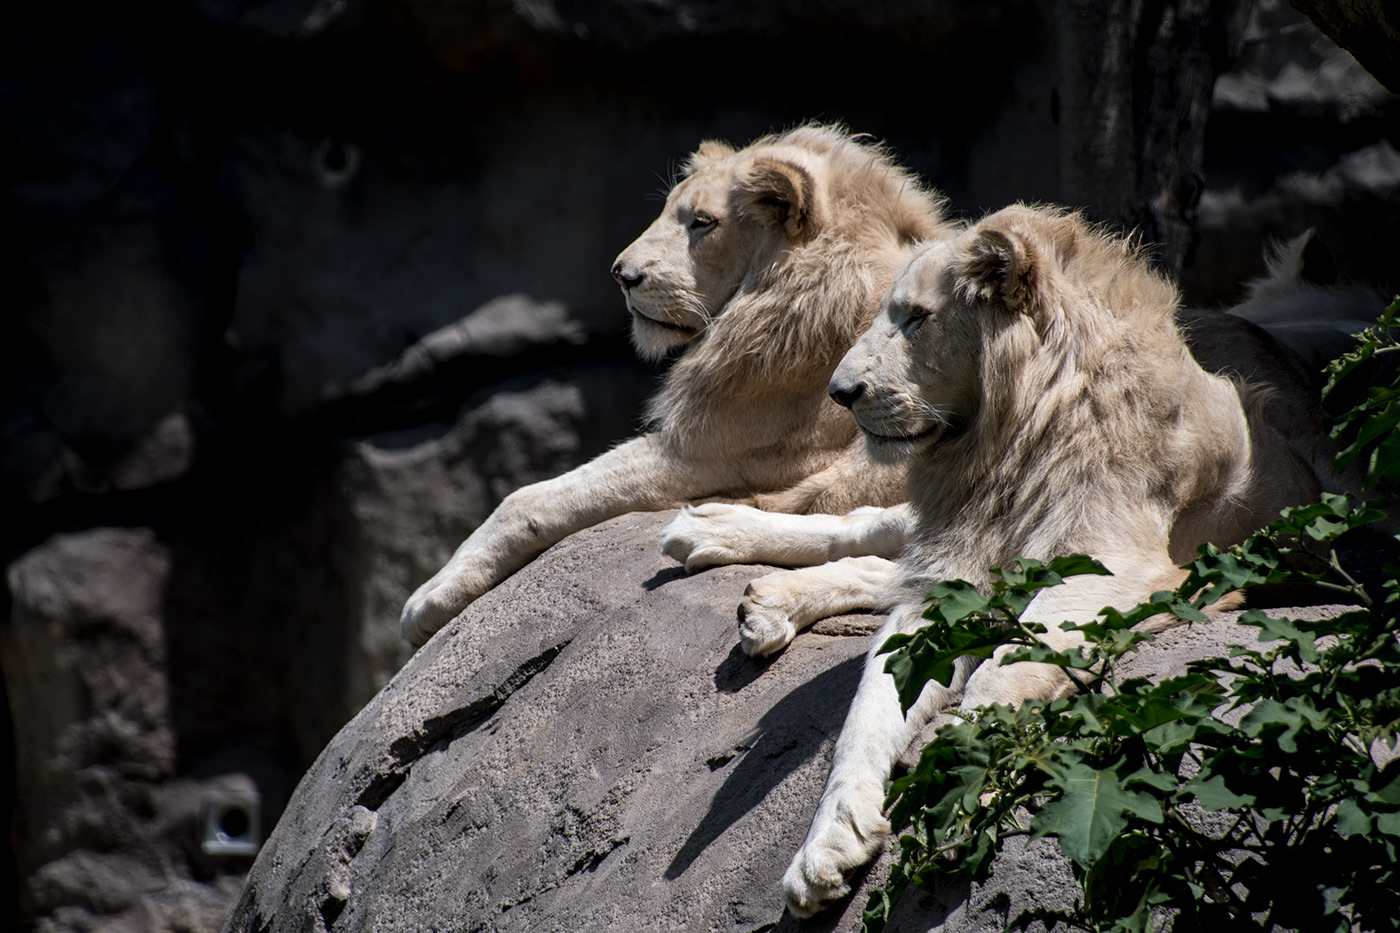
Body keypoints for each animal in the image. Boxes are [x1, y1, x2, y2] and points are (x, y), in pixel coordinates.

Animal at [665, 204, 1324, 916]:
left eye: (916, 318)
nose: (840, 392)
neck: (1006, 442)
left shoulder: (1117, 561)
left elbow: (1002, 670)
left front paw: (955, 779)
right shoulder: (955, 560)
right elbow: (867, 713)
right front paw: (830, 842)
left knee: (882, 563)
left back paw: (768, 600)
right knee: (867, 529)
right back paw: (714, 537)